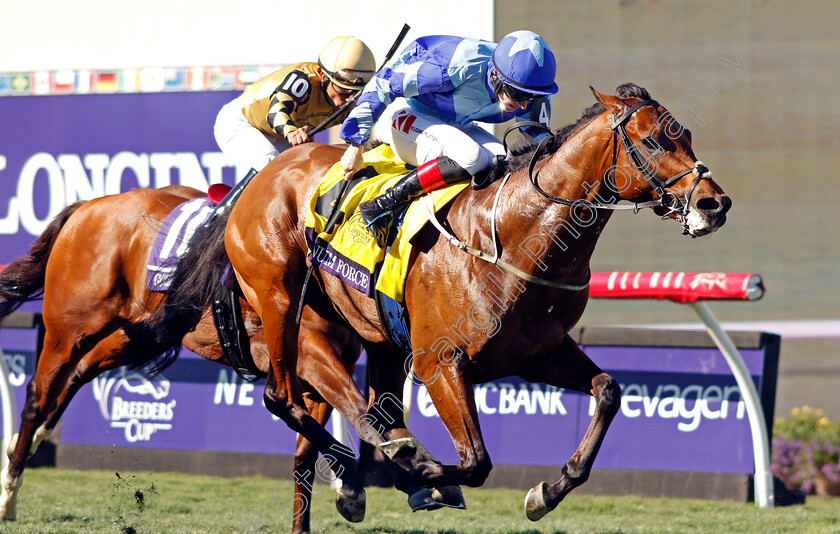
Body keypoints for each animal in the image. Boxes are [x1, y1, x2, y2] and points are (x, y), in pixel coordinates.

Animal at [0, 185, 436, 534]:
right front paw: (396, 473)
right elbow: (355, 413)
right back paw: (9, 493)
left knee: (80, 372)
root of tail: (87, 206)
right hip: (68, 329)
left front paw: (345, 494)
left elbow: (307, 450)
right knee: (38, 394)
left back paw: (32, 441)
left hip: (137, 331)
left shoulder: (322, 370)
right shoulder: (311, 354)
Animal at [131, 84, 728, 524]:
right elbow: (476, 462)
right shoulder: (440, 361)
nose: (713, 203)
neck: (515, 238)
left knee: (353, 407)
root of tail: (266, 172)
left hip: (362, 334)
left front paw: (547, 491)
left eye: (687, 135)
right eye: (653, 142)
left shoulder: (539, 353)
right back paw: (373, 466)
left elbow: (608, 391)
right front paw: (417, 472)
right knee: (284, 398)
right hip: (279, 298)